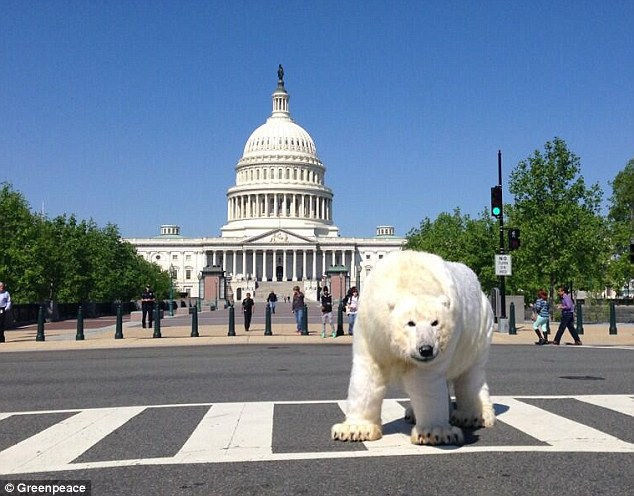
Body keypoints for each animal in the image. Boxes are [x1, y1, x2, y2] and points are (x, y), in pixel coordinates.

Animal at [330, 250, 494, 448]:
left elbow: (425, 381)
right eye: (410, 323)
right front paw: (354, 430)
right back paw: (413, 414)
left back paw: (472, 416)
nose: (426, 349)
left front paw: (435, 433)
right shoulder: (370, 329)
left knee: (471, 374)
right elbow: (367, 374)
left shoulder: (438, 351)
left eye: (435, 322)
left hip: (480, 331)